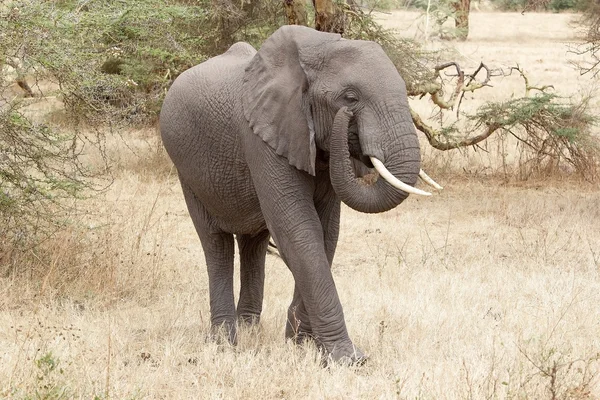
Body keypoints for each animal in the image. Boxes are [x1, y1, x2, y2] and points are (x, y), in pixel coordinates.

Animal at [159, 23, 440, 364]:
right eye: (350, 97)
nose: (346, 121)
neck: (316, 49)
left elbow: (325, 232)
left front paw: (300, 343)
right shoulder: (260, 137)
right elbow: (299, 231)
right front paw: (347, 358)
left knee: (253, 242)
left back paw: (250, 327)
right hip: (186, 168)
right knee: (215, 242)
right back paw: (225, 341)